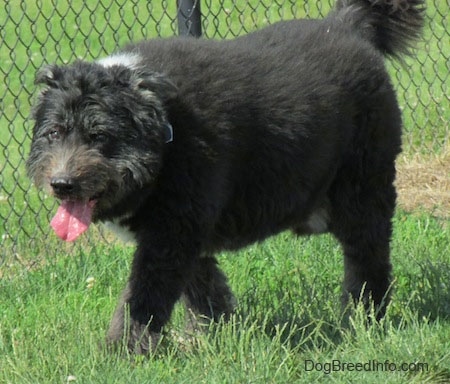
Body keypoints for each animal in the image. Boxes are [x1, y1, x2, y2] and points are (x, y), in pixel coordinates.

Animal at [27, 0, 426, 354]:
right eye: (55, 133)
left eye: (98, 136)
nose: (62, 184)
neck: (165, 129)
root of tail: (346, 24)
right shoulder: (185, 230)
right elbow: (201, 286)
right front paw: (216, 331)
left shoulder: (172, 233)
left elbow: (144, 295)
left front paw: (122, 350)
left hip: (361, 188)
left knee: (368, 256)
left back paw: (362, 316)